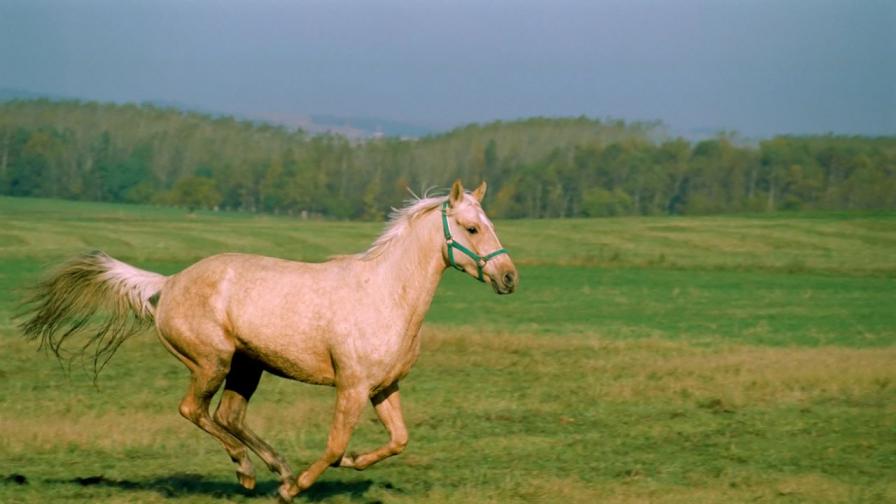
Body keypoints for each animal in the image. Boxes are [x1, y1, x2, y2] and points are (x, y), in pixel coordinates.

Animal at [17, 180, 520, 500]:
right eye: (472, 228)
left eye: (491, 224)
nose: (509, 277)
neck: (385, 293)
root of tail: (169, 282)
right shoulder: (352, 387)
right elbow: (334, 444)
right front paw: (293, 489)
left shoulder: (383, 387)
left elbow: (398, 440)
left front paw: (352, 463)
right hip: (212, 362)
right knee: (194, 410)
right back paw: (249, 471)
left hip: (247, 365)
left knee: (229, 415)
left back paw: (272, 467)